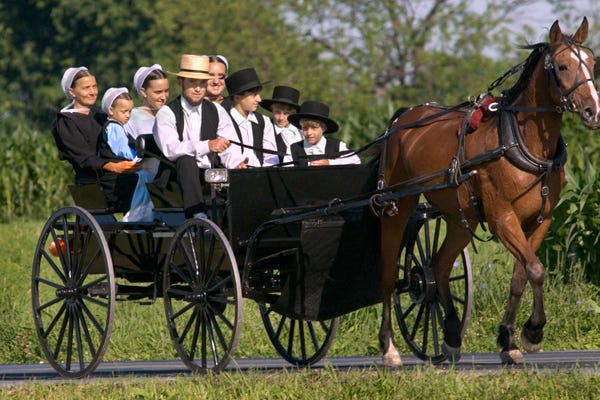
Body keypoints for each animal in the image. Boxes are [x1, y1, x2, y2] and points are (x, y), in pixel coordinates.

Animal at [380, 18, 600, 366]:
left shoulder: (540, 221)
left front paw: (508, 339)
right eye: (563, 66)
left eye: (592, 63)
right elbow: (536, 269)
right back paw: (389, 348)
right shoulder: (502, 219)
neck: (521, 140)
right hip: (397, 206)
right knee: (389, 274)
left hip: (459, 218)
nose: (594, 111)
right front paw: (533, 332)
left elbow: (522, 275)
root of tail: (402, 118)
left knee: (439, 266)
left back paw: (451, 336)